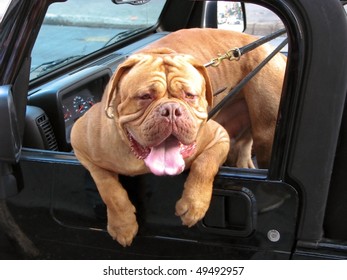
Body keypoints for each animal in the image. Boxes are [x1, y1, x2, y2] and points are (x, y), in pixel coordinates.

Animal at [70, 29, 286, 247]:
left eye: (189, 95)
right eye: (145, 96)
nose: (171, 109)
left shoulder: (219, 137)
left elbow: (204, 164)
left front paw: (194, 204)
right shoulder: (80, 144)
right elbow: (108, 187)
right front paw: (122, 225)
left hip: (265, 133)